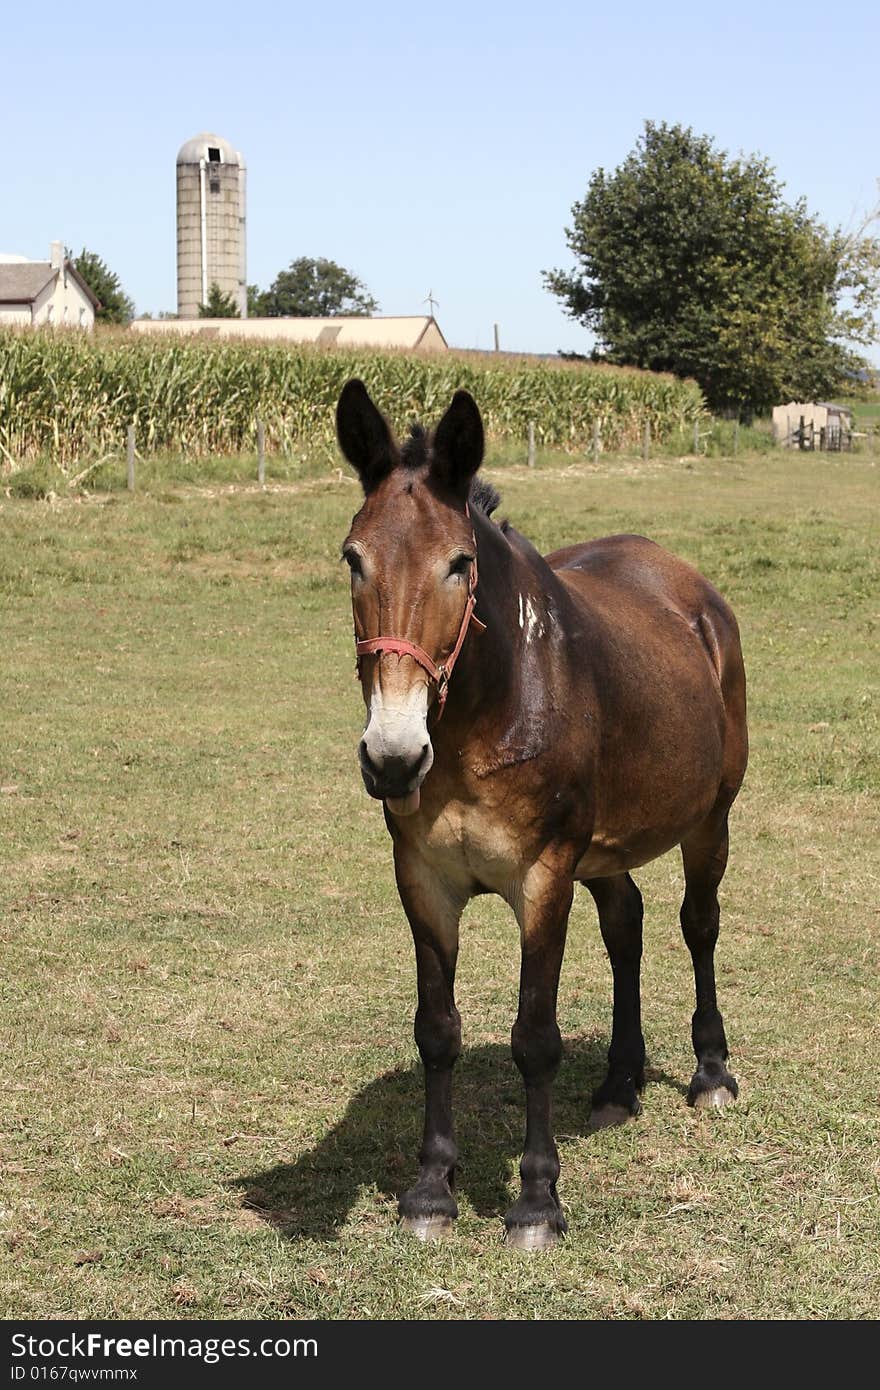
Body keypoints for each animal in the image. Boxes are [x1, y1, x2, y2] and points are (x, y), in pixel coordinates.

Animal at [332, 378, 745, 1251]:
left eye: (460, 564)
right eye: (353, 558)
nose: (393, 756)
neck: (487, 710)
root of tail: (693, 591)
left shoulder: (544, 879)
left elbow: (535, 1038)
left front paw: (536, 1202)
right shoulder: (423, 881)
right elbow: (437, 1030)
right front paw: (431, 1191)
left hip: (709, 822)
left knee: (698, 925)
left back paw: (711, 1072)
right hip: (608, 851)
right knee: (627, 927)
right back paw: (620, 1083)